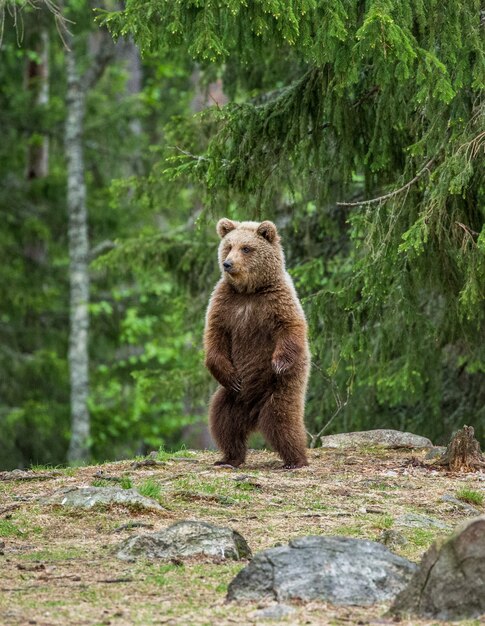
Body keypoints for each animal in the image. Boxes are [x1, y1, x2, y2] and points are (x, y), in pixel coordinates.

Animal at [201, 217, 308, 466]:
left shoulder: (277, 300)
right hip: (229, 398)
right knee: (223, 422)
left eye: (246, 248)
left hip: (280, 390)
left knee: (283, 421)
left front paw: (279, 362)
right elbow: (215, 336)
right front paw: (229, 375)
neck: (249, 291)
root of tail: (253, 413)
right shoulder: (225, 303)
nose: (228, 264)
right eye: (229, 245)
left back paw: (296, 459)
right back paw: (229, 458)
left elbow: (291, 327)